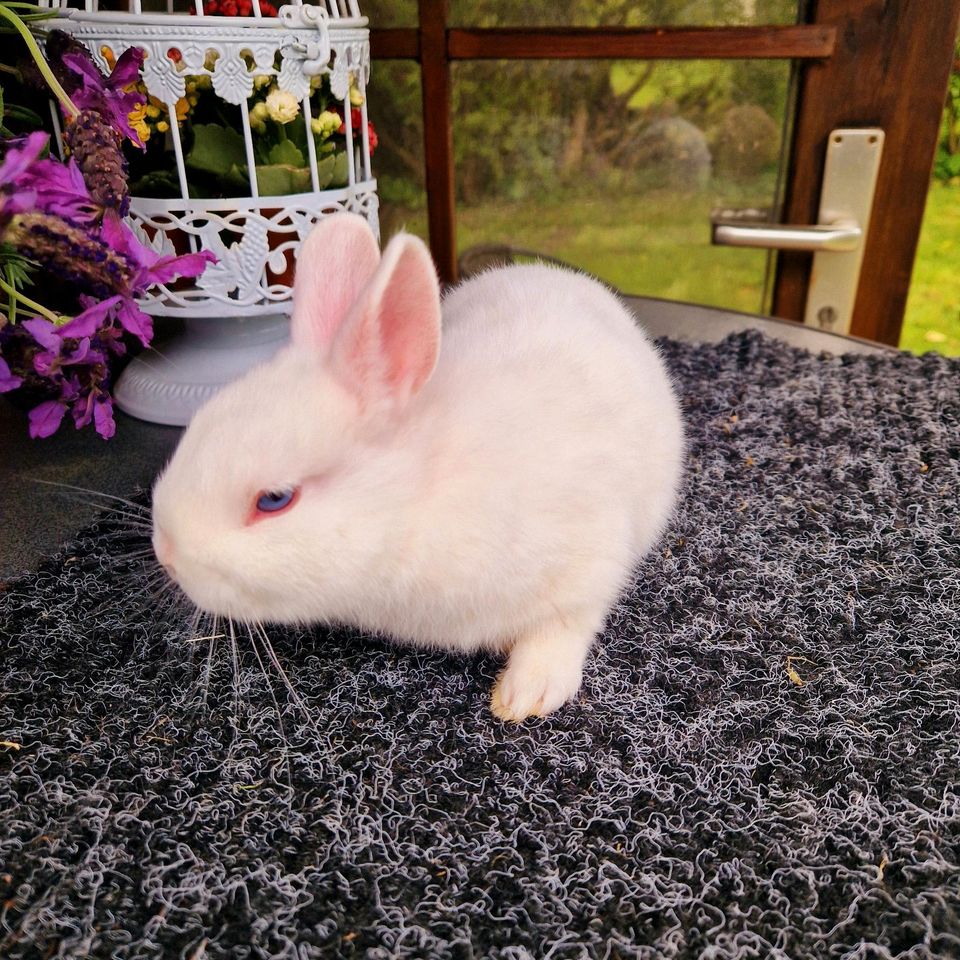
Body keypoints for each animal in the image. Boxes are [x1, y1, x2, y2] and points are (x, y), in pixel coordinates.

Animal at [152, 212, 684, 720]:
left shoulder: (588, 560)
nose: (167, 555)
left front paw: (526, 695)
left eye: (274, 500)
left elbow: (564, 626)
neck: (419, 500)